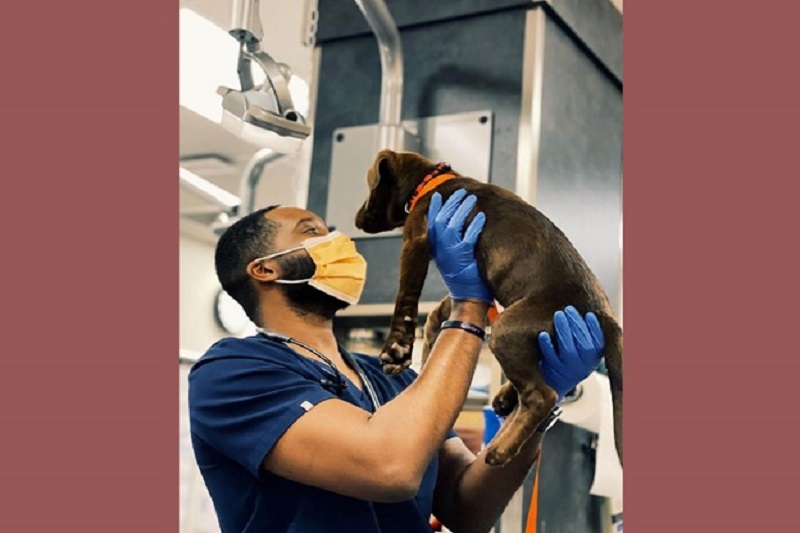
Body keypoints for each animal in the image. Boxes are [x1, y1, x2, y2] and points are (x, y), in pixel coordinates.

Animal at [356, 149, 624, 466]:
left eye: (369, 185)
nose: (357, 218)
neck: (431, 182)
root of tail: (604, 317)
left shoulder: (416, 241)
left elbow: (406, 300)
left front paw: (397, 350)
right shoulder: (472, 279)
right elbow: (440, 309)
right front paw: (429, 344)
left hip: (507, 327)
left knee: (542, 395)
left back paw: (501, 449)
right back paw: (507, 398)